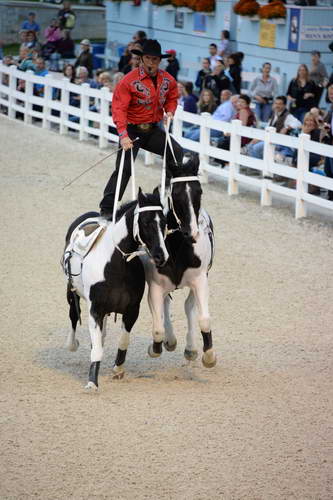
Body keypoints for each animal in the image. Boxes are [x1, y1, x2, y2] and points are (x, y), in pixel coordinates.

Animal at [61, 188, 169, 390]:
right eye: (146, 222)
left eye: (165, 222)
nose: (161, 256)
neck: (117, 264)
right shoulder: (95, 309)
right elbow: (96, 348)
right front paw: (92, 382)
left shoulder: (132, 310)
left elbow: (123, 340)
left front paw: (118, 369)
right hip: (72, 292)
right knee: (73, 316)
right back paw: (72, 344)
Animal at [139, 156, 215, 372]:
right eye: (176, 194)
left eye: (199, 191)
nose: (192, 232)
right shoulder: (155, 285)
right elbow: (157, 328)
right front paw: (157, 346)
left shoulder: (200, 280)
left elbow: (203, 319)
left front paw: (208, 357)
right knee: (166, 304)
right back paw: (171, 340)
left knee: (189, 307)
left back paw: (190, 349)